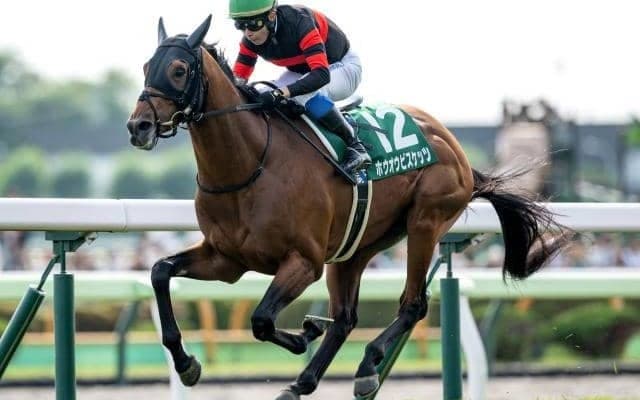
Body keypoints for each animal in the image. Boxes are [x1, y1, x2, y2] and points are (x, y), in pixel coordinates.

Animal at [126, 16, 570, 400]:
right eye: (147, 66)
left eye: (179, 70)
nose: (138, 126)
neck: (250, 164)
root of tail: (452, 145)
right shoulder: (227, 260)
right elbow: (160, 271)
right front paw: (187, 363)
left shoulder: (304, 262)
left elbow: (262, 320)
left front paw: (304, 332)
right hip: (356, 246)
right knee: (345, 319)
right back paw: (303, 383)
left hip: (425, 222)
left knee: (413, 304)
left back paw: (366, 367)